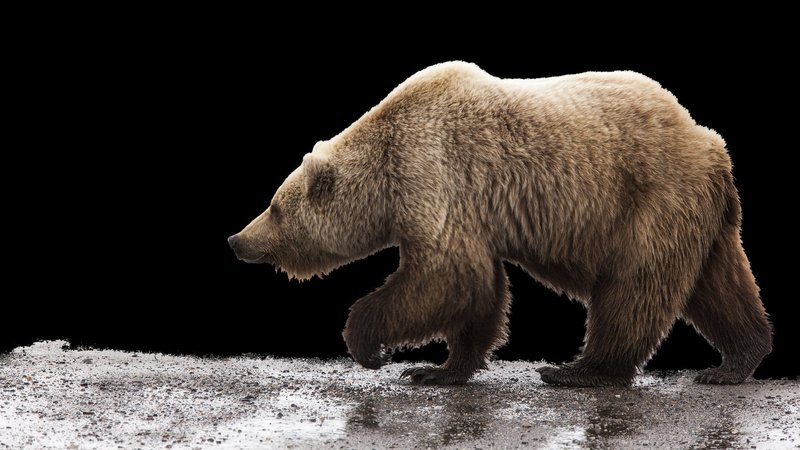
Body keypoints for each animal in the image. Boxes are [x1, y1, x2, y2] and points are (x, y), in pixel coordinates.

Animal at [228, 61, 772, 387]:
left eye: (274, 206)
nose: (237, 239)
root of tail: (710, 144)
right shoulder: (470, 212)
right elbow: (478, 290)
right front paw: (439, 369)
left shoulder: (434, 175)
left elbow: (445, 276)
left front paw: (371, 347)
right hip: (700, 215)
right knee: (720, 286)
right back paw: (736, 360)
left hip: (650, 199)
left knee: (634, 289)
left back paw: (579, 369)